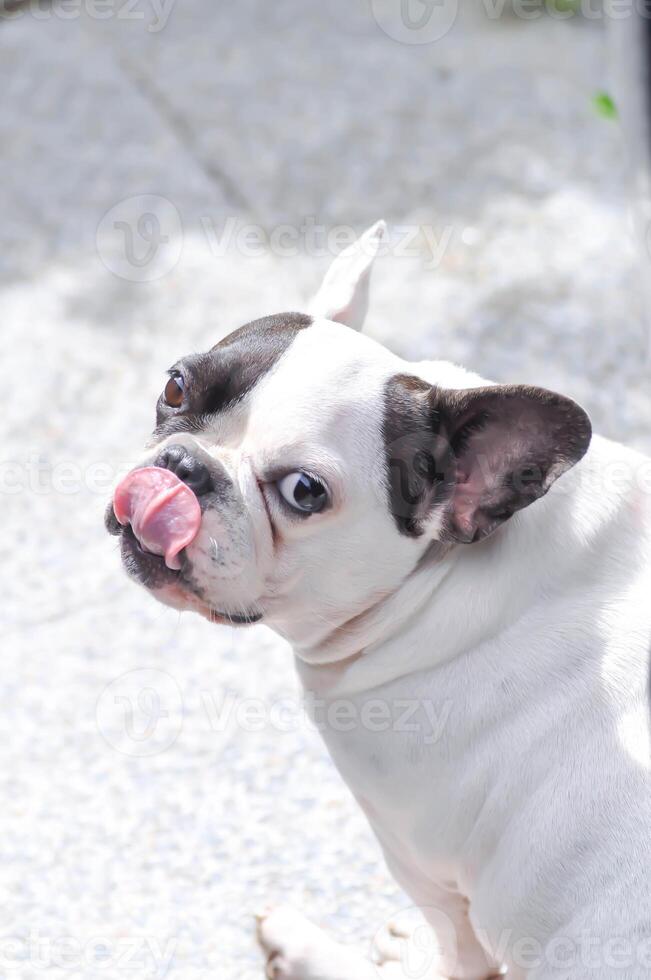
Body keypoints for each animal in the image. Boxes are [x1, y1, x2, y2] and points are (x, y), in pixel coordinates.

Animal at [107, 224, 651, 980]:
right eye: (175, 386)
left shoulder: (430, 875)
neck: (440, 583)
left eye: (304, 492)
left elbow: (451, 954)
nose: (184, 468)